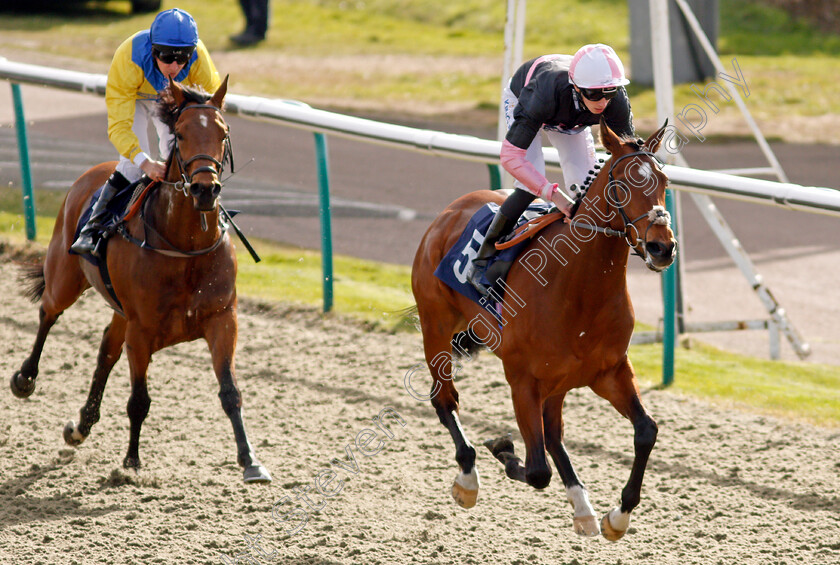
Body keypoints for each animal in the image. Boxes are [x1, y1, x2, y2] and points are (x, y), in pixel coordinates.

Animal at [10, 77, 272, 482]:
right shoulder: (142, 329)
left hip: (120, 311)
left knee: (105, 350)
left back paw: (81, 426)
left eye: (224, 133)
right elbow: (139, 400)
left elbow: (230, 392)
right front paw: (131, 461)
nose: (205, 189)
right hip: (64, 279)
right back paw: (25, 379)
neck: (184, 248)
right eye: (181, 134)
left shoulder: (221, 319)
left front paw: (250, 460)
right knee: (48, 314)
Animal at [412, 119, 676, 536]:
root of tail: (448, 212)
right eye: (622, 184)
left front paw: (618, 516)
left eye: (663, 180)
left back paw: (582, 507)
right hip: (435, 327)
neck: (578, 285)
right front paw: (502, 448)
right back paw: (468, 478)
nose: (661, 247)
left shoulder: (609, 371)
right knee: (445, 400)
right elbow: (537, 470)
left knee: (552, 434)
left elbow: (646, 431)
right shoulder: (522, 379)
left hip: (559, 381)